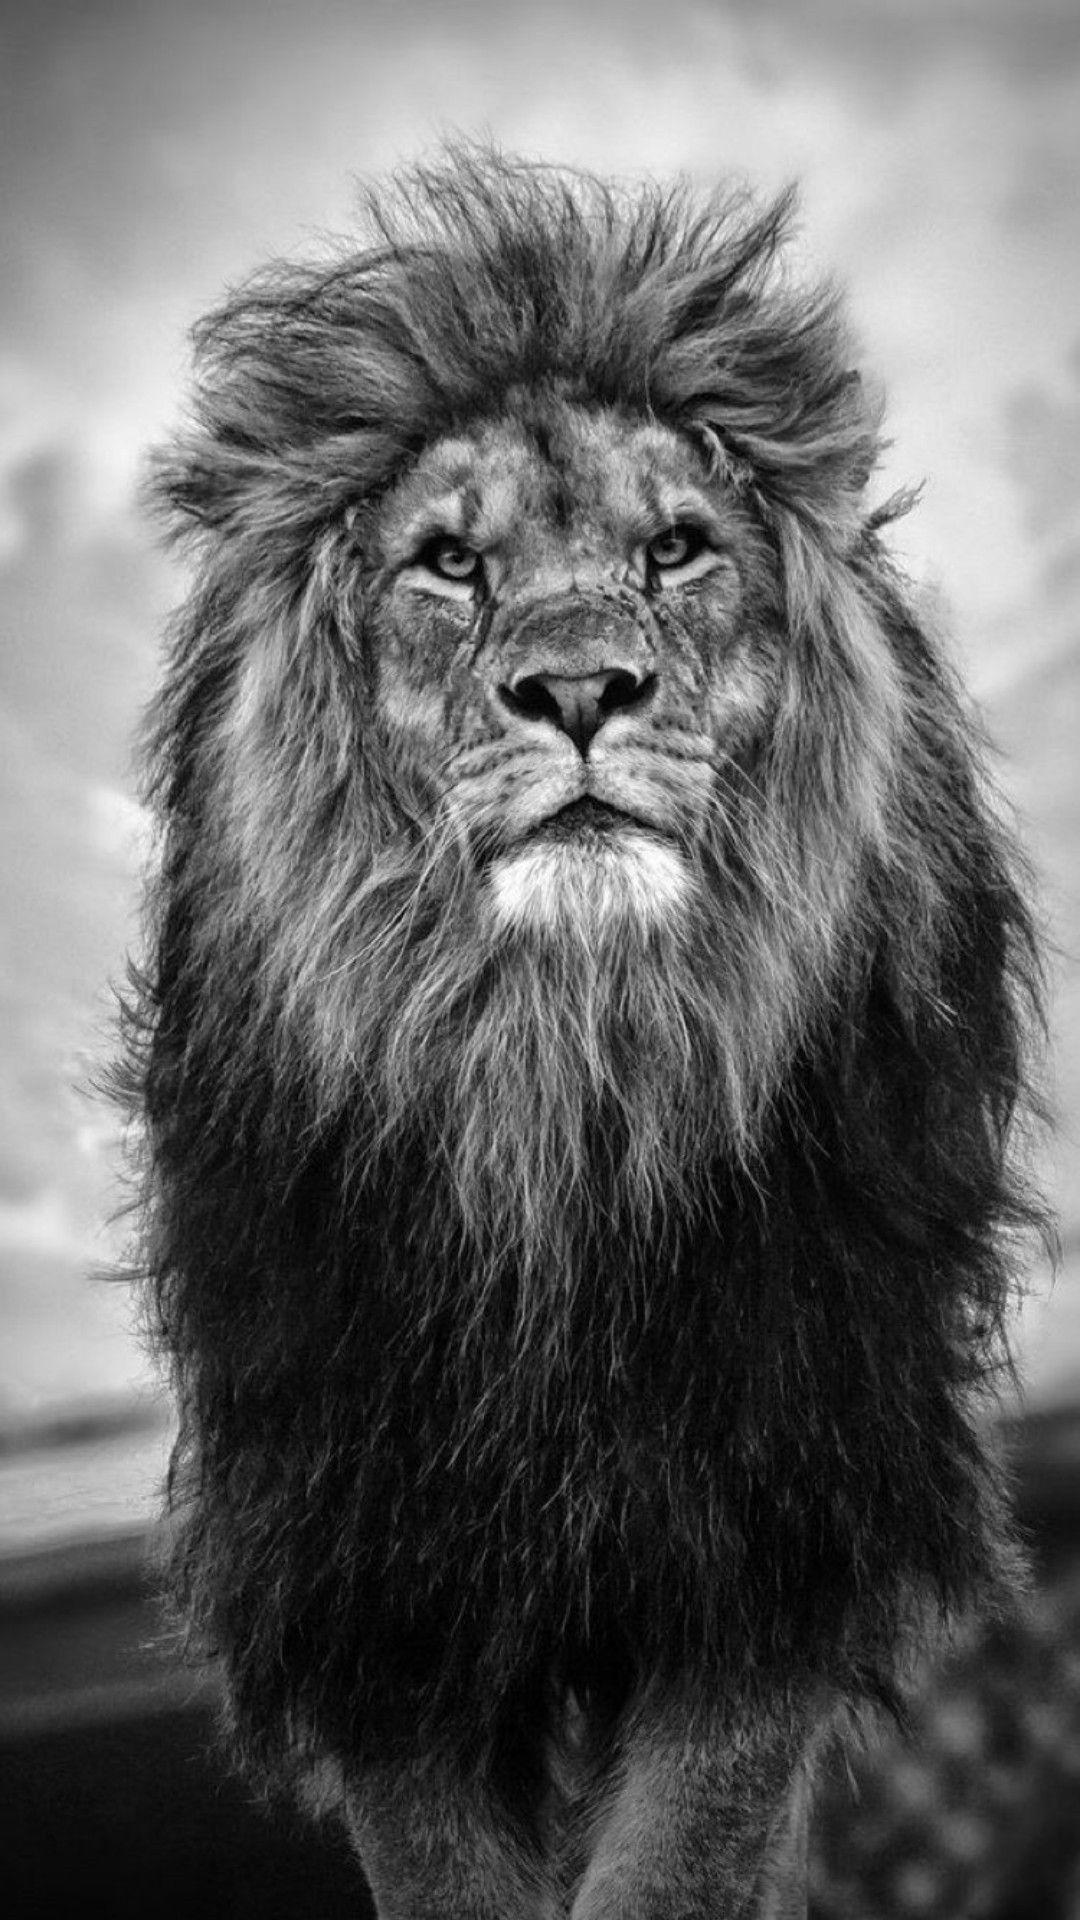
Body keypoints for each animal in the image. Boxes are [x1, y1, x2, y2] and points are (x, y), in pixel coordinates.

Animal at [121, 150, 1047, 1917]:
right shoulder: (370, 1561)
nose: (577, 692)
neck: (561, 1073)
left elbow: (684, 1859)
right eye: (449, 563)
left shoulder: (774, 1513)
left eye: (679, 549)